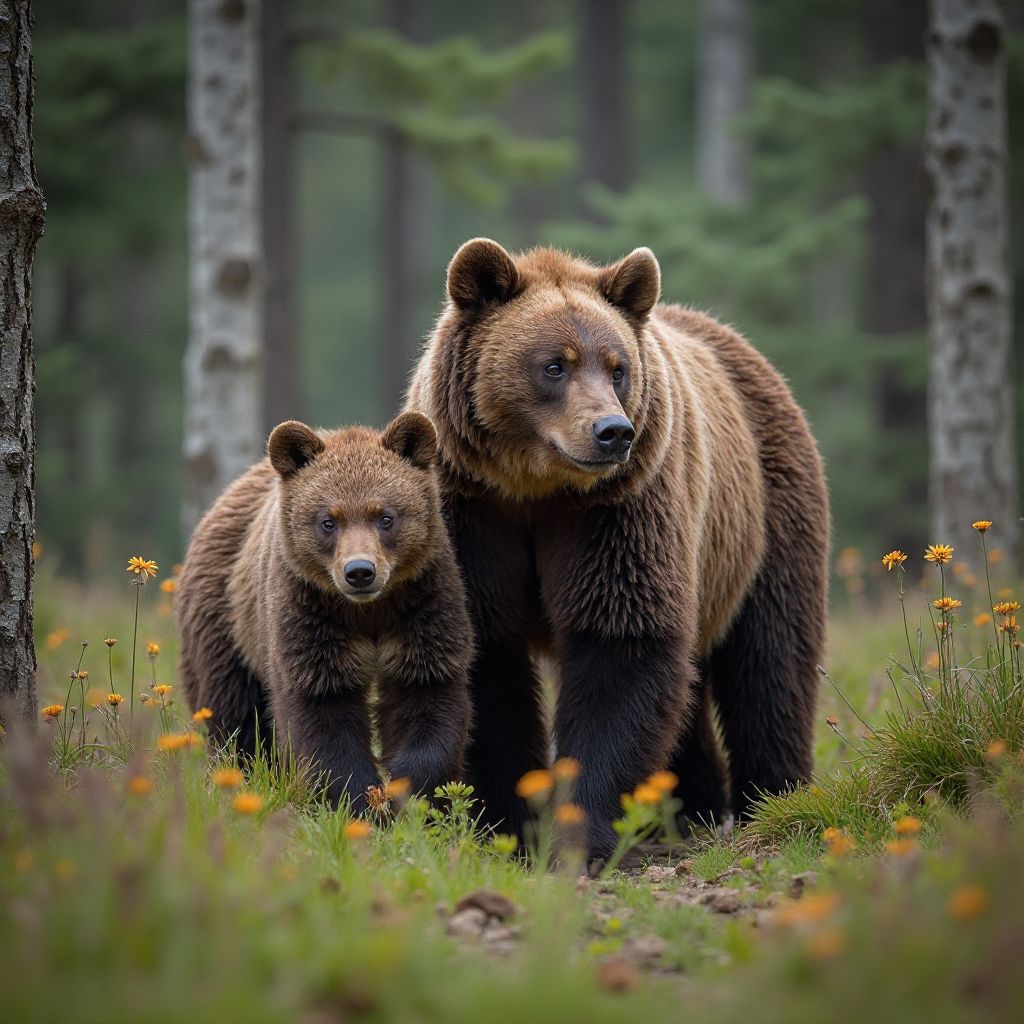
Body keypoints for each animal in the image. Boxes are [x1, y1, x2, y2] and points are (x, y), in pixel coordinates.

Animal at [176, 412, 473, 810]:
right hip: (225, 617)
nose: (360, 571)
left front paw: (409, 794)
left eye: (386, 516)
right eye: (328, 520)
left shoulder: (422, 606)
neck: (368, 612)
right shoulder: (308, 614)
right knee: (232, 712)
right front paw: (359, 801)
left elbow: (428, 693)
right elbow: (322, 710)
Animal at [404, 238, 829, 857]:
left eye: (617, 368)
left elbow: (622, 642)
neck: (535, 489)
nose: (613, 431)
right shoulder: (472, 516)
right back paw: (692, 809)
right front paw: (509, 822)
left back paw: (773, 798)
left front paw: (582, 833)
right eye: (554, 364)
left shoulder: (619, 510)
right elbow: (486, 662)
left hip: (763, 517)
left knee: (770, 660)